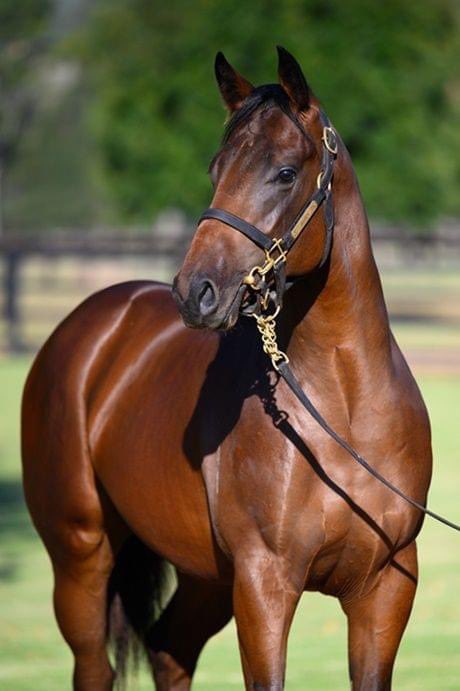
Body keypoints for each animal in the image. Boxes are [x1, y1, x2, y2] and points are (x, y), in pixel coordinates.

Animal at [22, 47, 432, 690]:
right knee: (95, 666)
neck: (343, 411)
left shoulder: (385, 586)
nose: (196, 292)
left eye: (285, 172)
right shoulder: (265, 583)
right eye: (216, 170)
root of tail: (89, 328)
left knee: (169, 648)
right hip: (81, 552)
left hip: (204, 575)